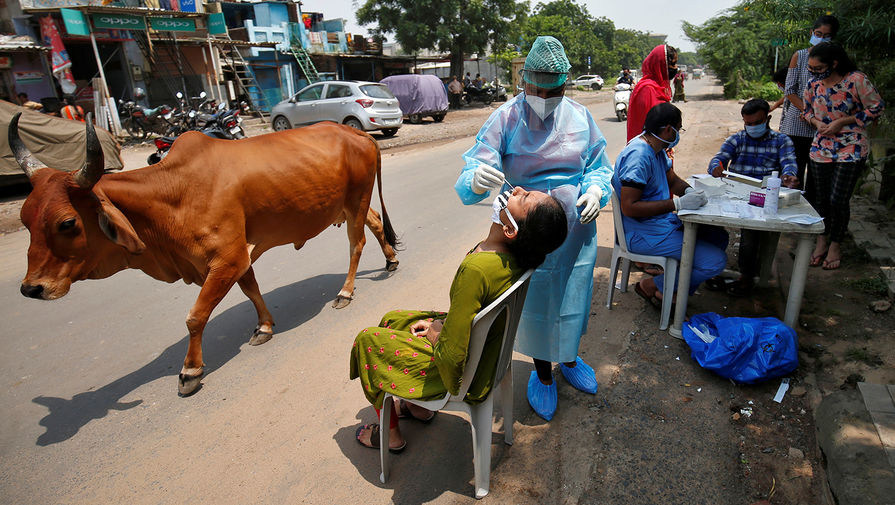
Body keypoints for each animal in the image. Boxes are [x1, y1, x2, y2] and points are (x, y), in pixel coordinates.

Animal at [9, 113, 400, 394]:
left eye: (67, 223)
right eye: (25, 218)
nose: (32, 288)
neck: (171, 194)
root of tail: (357, 133)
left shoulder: (228, 258)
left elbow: (196, 316)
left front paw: (190, 370)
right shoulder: (238, 255)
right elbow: (251, 290)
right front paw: (264, 326)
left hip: (356, 199)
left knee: (356, 243)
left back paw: (346, 291)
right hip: (350, 204)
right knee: (375, 223)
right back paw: (390, 259)